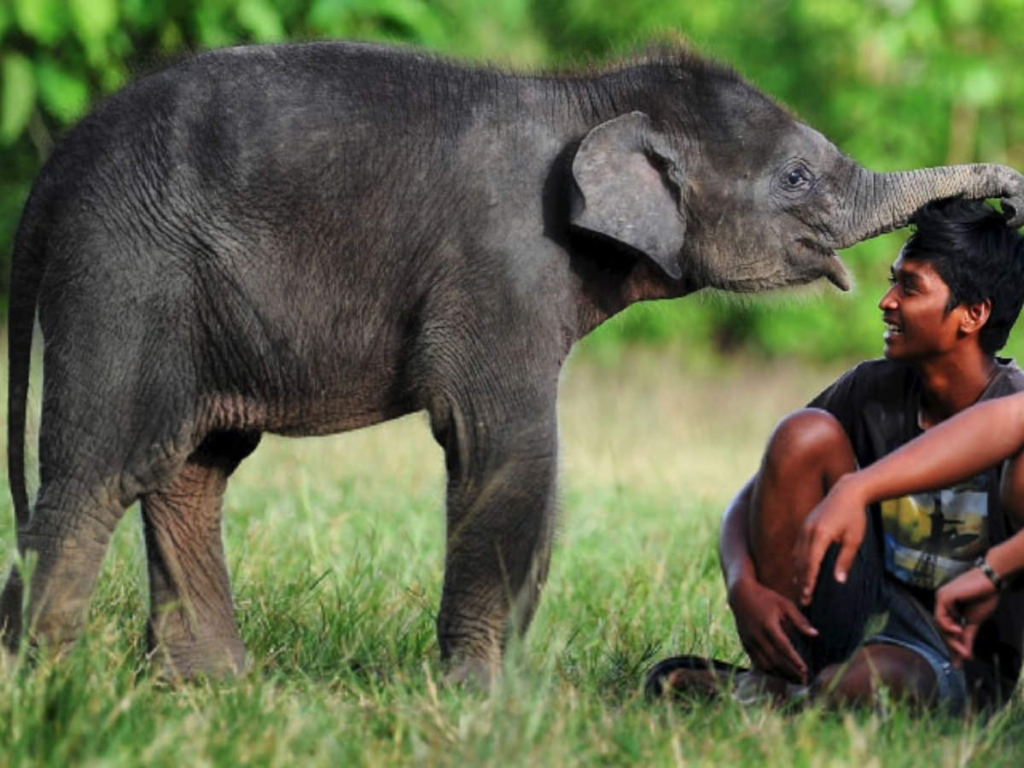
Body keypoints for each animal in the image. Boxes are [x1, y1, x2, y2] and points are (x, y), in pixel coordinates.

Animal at [2, 40, 1024, 684]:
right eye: (798, 178)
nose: (1003, 196)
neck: (593, 99)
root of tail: (55, 167)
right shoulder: (501, 263)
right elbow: (509, 450)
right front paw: (482, 702)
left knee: (193, 473)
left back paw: (207, 689)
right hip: (125, 275)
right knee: (98, 471)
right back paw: (56, 694)